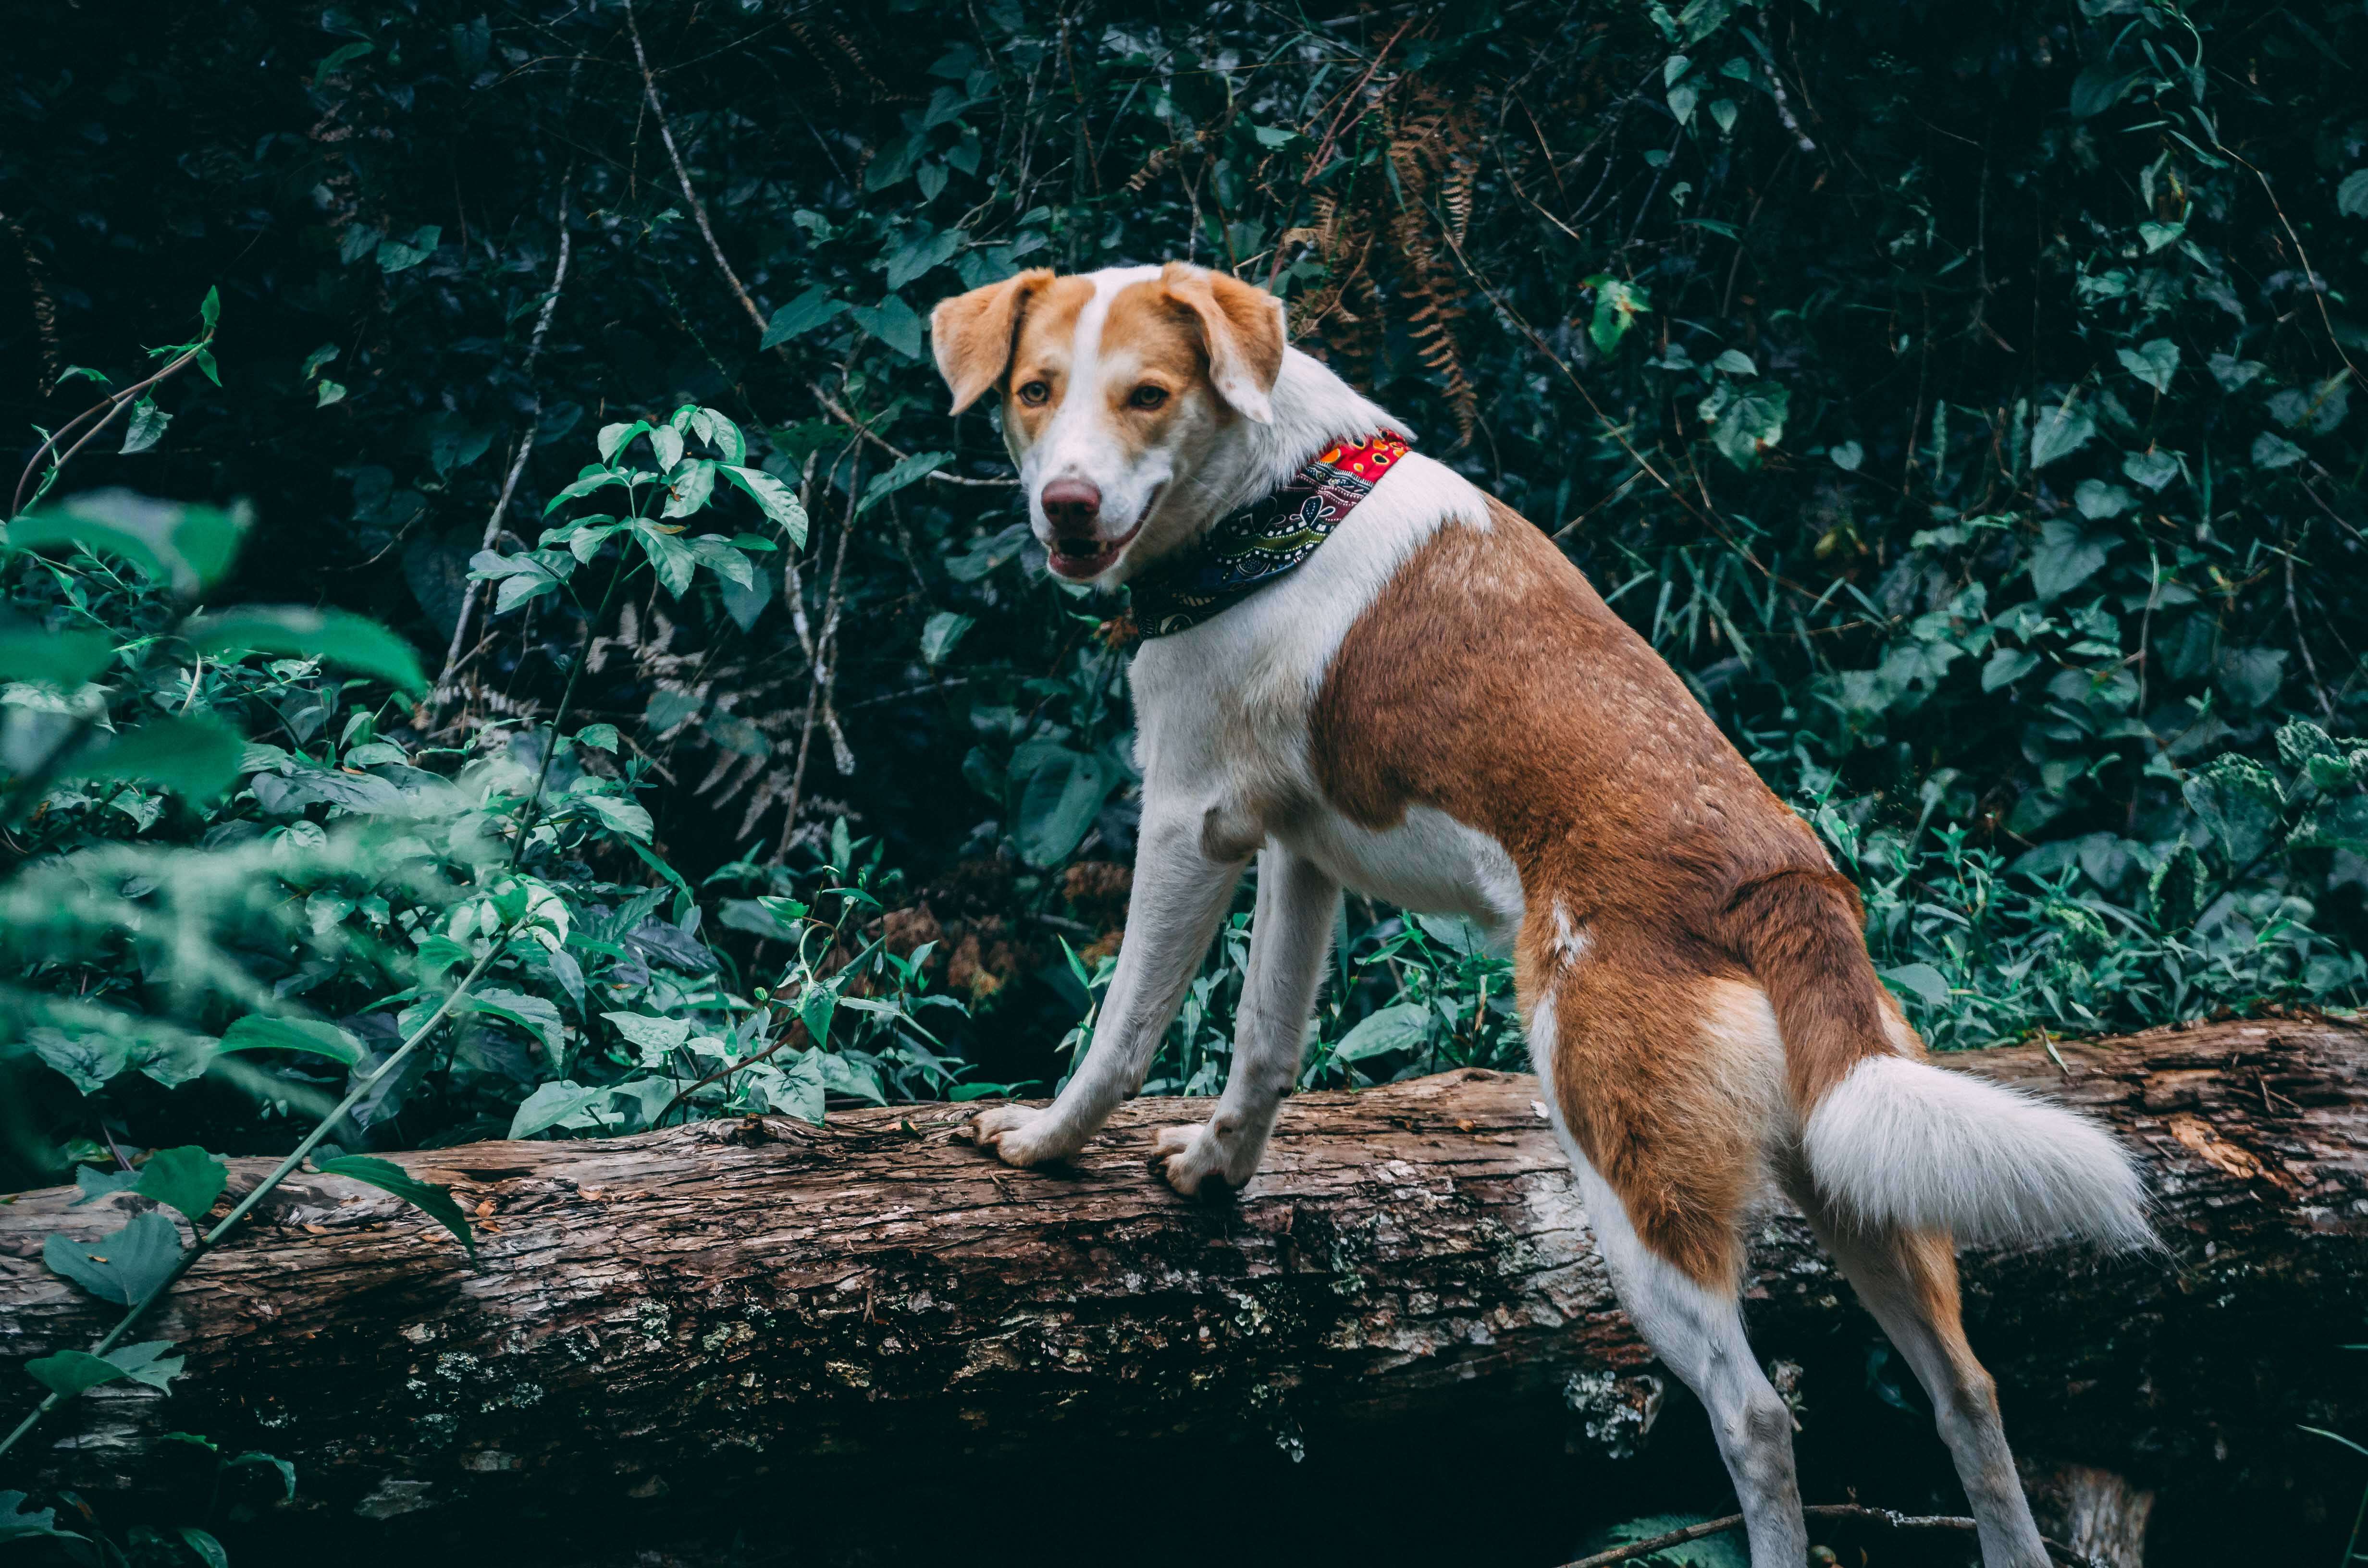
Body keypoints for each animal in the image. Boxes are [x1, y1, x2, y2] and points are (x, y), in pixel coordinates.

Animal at [923, 264, 2150, 1563]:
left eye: (1148, 396)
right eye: (1035, 391)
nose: (1065, 505)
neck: (1275, 497)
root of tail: (1784, 885)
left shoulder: (1188, 826)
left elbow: (1124, 1030)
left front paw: (1046, 1143)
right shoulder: (1303, 854)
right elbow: (1266, 1047)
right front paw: (1216, 1171)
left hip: (1630, 1186)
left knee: (1758, 1419)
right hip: (1864, 1175)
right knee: (1968, 1393)